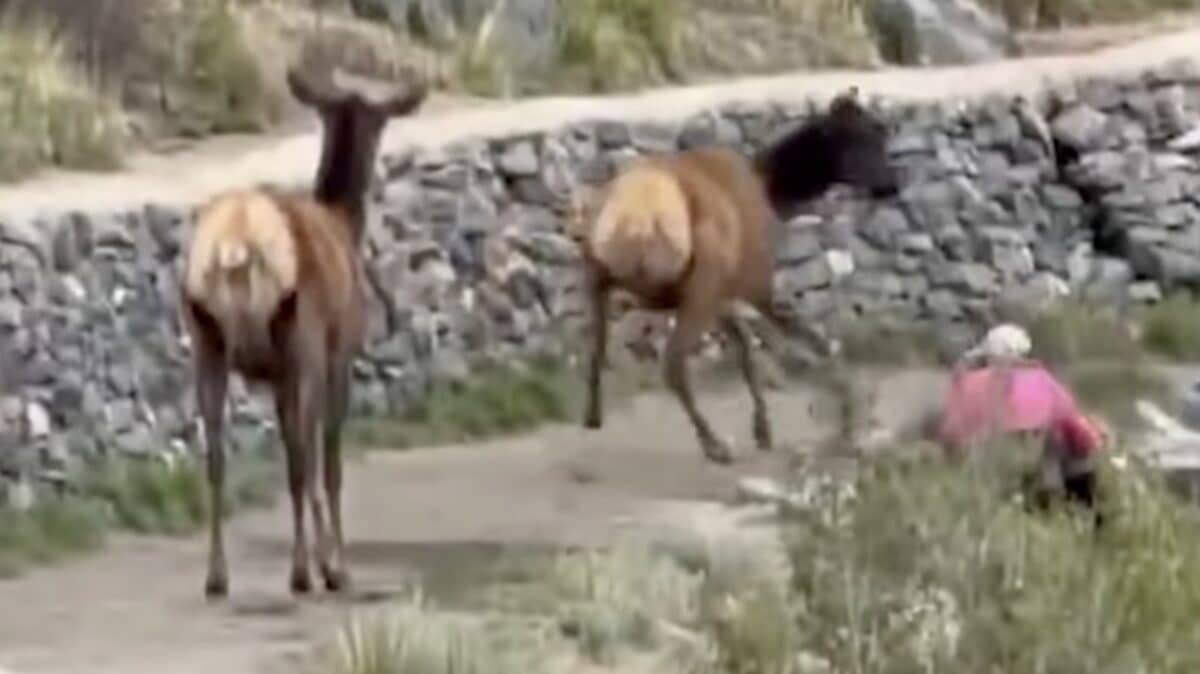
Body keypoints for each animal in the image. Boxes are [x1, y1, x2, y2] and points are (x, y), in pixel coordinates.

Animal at [180, 65, 427, 598]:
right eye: (380, 120)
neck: (343, 223)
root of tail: (234, 245)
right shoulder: (338, 354)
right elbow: (328, 461)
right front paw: (336, 565)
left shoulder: (276, 374)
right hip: (300, 335)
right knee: (302, 458)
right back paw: (307, 570)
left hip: (207, 339)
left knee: (216, 458)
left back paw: (217, 576)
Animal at [569, 88, 899, 465]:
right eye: (863, 136)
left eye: (881, 131)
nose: (891, 185)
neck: (772, 193)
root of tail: (632, 220)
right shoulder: (754, 283)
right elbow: (813, 339)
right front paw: (851, 415)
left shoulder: (724, 294)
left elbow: (747, 350)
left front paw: (764, 429)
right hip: (697, 285)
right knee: (672, 364)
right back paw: (714, 444)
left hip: (600, 277)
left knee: (596, 348)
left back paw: (593, 415)